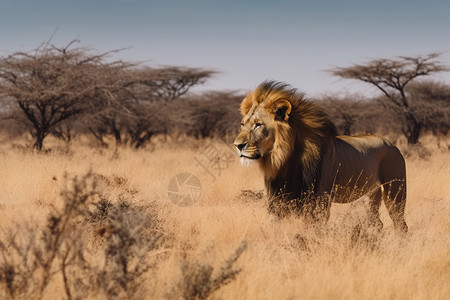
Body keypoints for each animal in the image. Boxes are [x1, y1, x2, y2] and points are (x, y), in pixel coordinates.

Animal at [236, 81, 408, 232]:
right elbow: (274, 227)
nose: (237, 145)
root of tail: (392, 145)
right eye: (243, 124)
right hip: (370, 195)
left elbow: (313, 230)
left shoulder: (319, 200)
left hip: (395, 190)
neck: (284, 161)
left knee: (401, 223)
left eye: (258, 125)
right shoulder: (276, 200)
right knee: (377, 223)